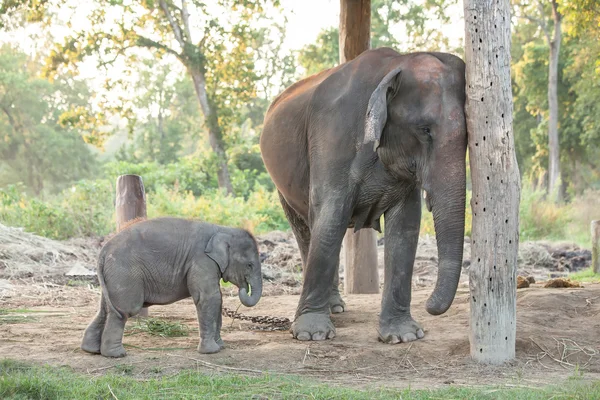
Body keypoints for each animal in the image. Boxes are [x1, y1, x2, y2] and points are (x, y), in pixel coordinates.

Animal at [81, 217, 262, 358]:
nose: (244, 287)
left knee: (105, 310)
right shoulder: (201, 261)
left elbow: (218, 298)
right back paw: (117, 354)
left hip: (112, 277)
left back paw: (91, 350)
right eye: (249, 265)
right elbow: (210, 297)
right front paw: (212, 352)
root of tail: (103, 251)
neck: (222, 229)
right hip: (124, 274)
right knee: (123, 311)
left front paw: (220, 346)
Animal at [260, 47, 466, 344]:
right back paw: (329, 311)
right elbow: (331, 216)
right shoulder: (332, 138)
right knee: (308, 228)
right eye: (425, 130)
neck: (395, 64)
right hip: (282, 185)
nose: (430, 305)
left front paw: (403, 336)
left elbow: (405, 227)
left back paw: (335, 307)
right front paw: (312, 335)